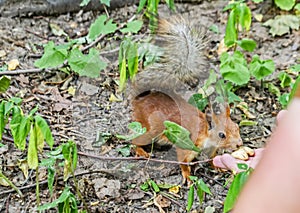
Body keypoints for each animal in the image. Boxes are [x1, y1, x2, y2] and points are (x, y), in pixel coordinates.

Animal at [130, 16, 243, 183]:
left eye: (237, 127)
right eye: (222, 135)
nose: (239, 144)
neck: (206, 134)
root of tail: (140, 99)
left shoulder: (210, 149)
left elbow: (211, 158)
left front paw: (217, 167)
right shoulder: (187, 145)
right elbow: (183, 161)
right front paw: (188, 176)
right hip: (150, 130)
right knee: (134, 141)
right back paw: (141, 151)